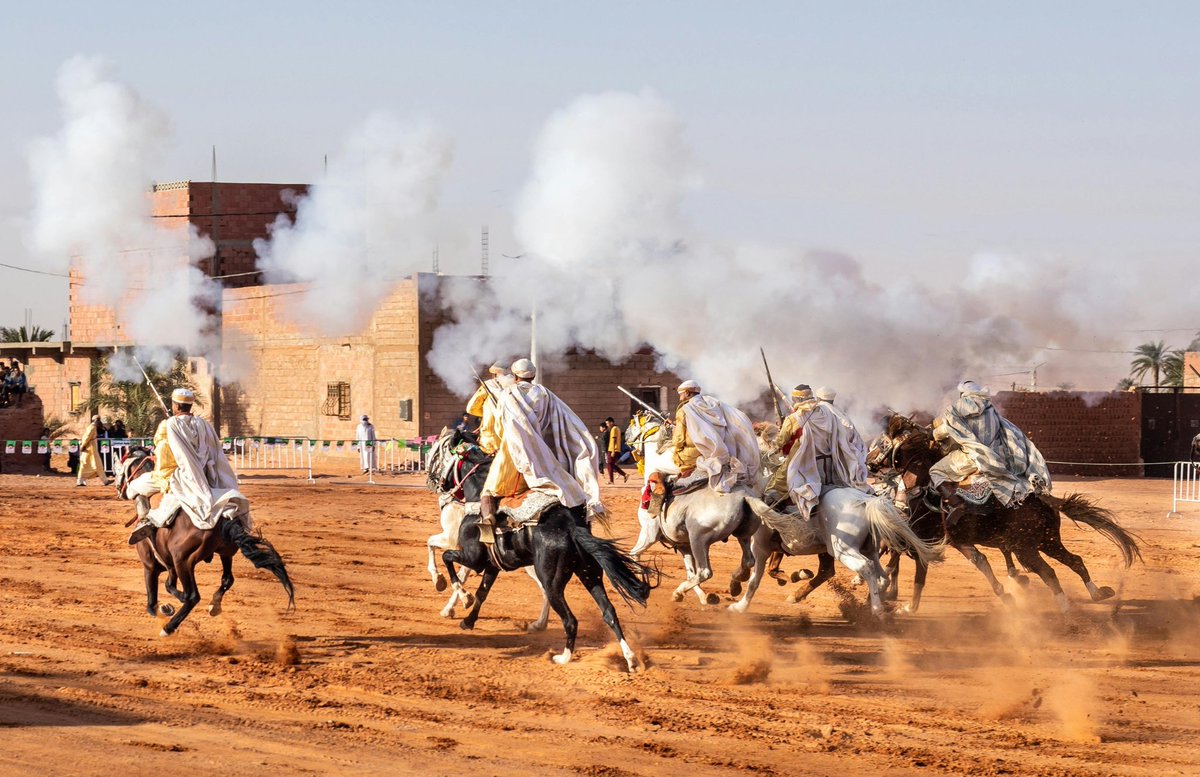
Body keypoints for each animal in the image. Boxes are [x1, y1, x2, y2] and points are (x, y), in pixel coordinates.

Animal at [115, 446, 295, 633]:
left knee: (193, 596)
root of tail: (221, 521)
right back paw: (214, 605)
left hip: (183, 562)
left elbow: (152, 604)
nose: (117, 488)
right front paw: (169, 606)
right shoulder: (170, 566)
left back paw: (169, 627)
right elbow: (169, 586)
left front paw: (167, 609)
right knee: (227, 579)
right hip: (224, 553)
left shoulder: (150, 567)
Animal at [429, 426, 657, 671]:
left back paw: (562, 656)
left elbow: (447, 558)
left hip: (551, 581)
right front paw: (468, 619)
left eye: (435, 454)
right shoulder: (493, 565)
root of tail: (571, 528)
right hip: (589, 574)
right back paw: (630, 659)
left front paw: (457, 593)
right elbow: (482, 592)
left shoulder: (473, 557)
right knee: (609, 612)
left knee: (569, 618)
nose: (432, 481)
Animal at [868, 412, 1137, 613]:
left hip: (1026, 548)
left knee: (1049, 573)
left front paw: (905, 605)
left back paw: (1066, 608)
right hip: (1048, 542)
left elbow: (919, 574)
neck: (922, 487)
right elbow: (981, 563)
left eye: (880, 443)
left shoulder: (925, 540)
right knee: (1075, 561)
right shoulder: (957, 542)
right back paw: (1097, 593)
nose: (869, 463)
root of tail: (1042, 499)